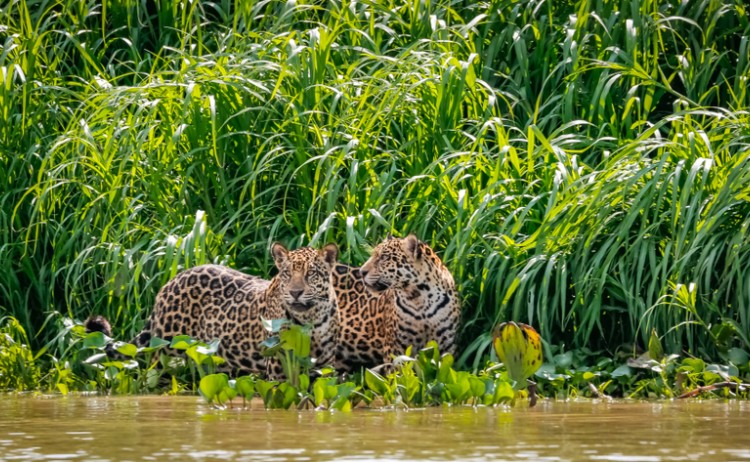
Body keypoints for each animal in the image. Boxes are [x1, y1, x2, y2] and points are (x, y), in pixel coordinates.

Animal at [85, 243, 340, 378]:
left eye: (311, 274)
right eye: (287, 274)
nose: (295, 292)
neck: (310, 320)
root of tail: (171, 281)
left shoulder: (327, 366)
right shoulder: (279, 365)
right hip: (164, 349)